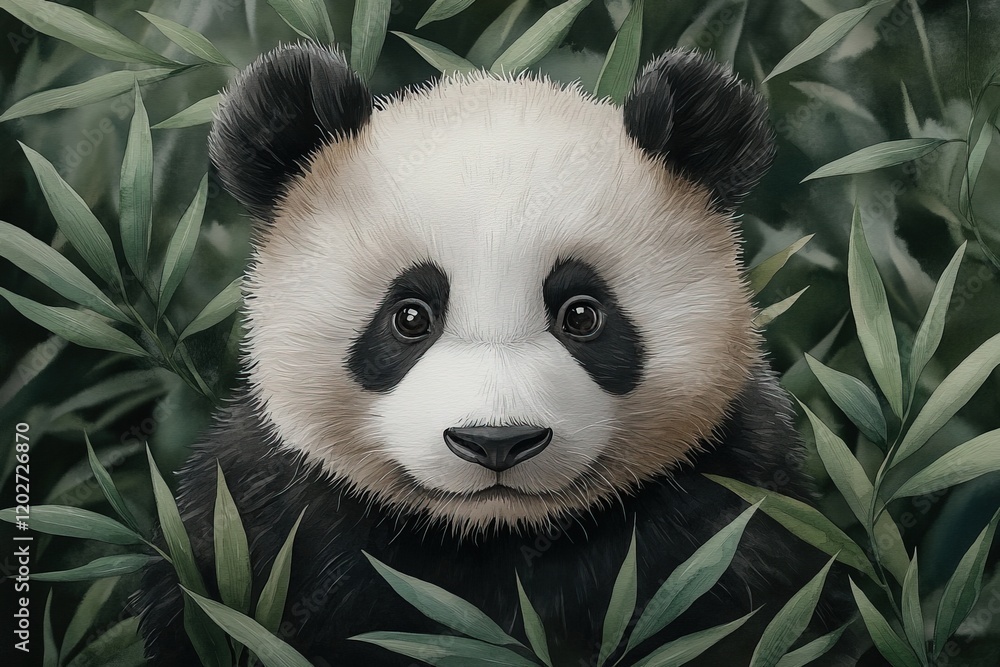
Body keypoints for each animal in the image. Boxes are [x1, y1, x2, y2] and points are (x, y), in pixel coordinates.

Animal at [136, 43, 859, 666]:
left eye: (582, 314)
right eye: (409, 316)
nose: (496, 441)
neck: (494, 539)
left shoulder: (730, 510)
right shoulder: (261, 521)